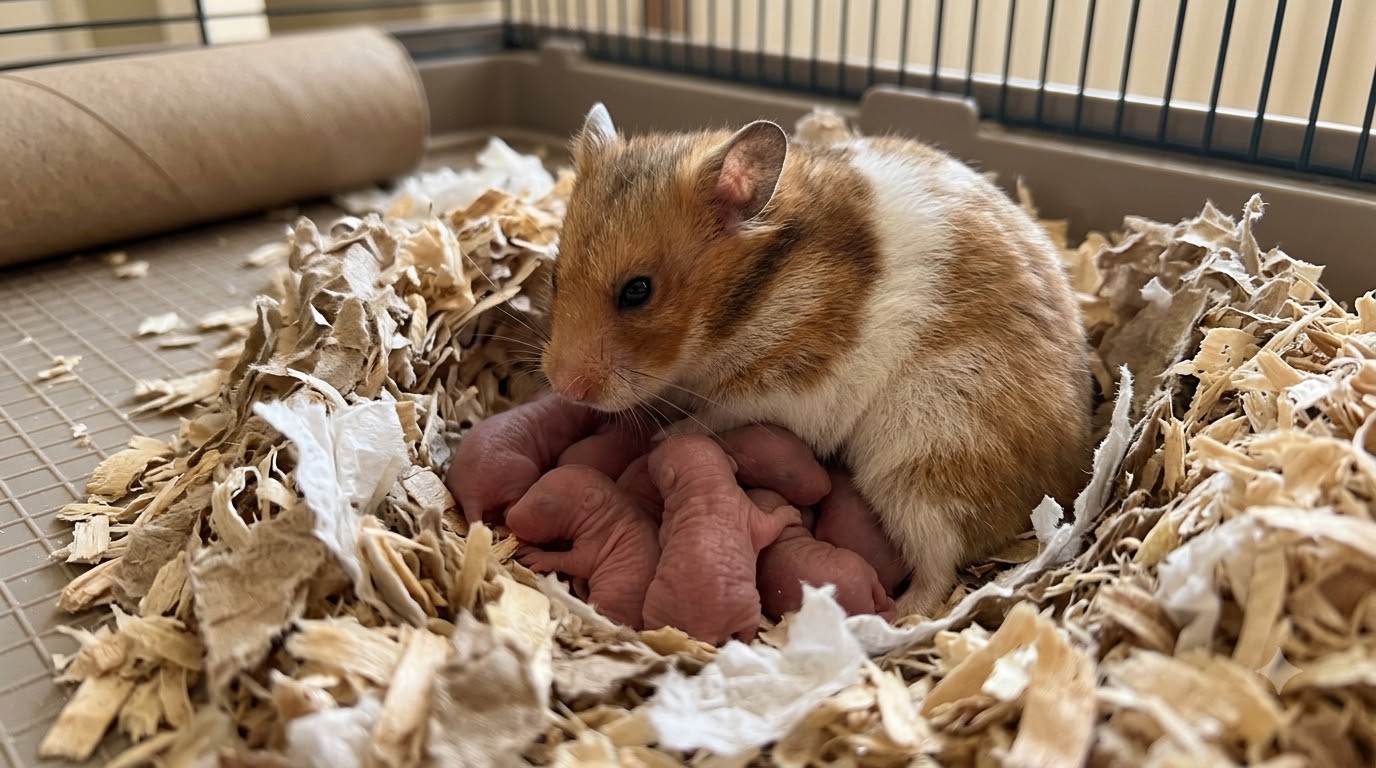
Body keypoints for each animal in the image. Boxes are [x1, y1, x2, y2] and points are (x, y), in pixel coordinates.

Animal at [540, 103, 1093, 617]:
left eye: (638, 291)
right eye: (553, 275)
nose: (565, 388)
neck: (742, 304)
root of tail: (1073, 474)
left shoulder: (792, 387)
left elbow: (716, 417)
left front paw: (662, 438)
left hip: (925, 460)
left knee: (939, 568)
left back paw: (898, 618)